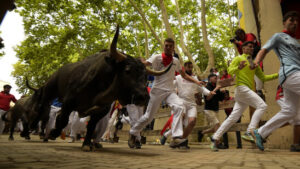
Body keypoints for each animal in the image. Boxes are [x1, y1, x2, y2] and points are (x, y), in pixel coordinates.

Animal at [28, 25, 172, 151]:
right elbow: (63, 120)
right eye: (127, 70)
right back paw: (33, 130)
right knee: (42, 110)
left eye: (146, 76)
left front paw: (87, 144)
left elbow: (91, 127)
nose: (143, 97)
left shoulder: (101, 110)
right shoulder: (69, 102)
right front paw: (54, 133)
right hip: (49, 91)